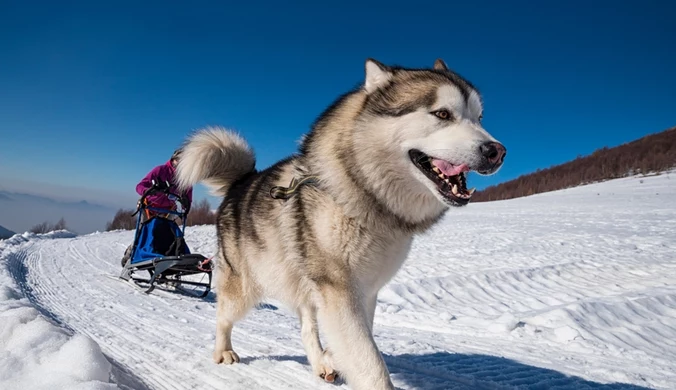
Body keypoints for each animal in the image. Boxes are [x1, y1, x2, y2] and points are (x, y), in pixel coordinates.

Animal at [174, 58, 508, 390]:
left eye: (479, 118)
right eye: (442, 114)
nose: (497, 151)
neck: (366, 199)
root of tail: (242, 182)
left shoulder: (363, 291)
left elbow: (355, 338)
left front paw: (333, 357)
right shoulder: (339, 289)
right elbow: (370, 362)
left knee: (307, 326)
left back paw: (322, 362)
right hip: (244, 287)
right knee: (223, 317)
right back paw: (224, 352)